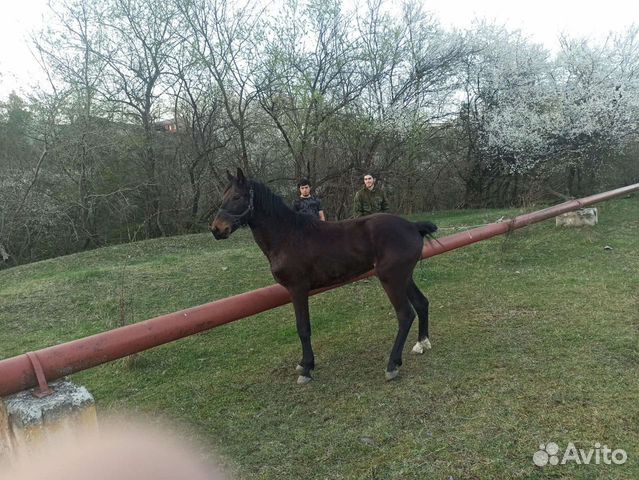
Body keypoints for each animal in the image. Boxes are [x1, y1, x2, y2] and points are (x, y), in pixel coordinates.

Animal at [212, 167, 438, 384]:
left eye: (237, 197)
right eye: (223, 195)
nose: (216, 229)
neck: (287, 235)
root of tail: (412, 226)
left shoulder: (298, 289)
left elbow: (303, 328)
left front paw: (306, 368)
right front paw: (305, 364)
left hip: (391, 279)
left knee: (405, 314)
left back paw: (392, 365)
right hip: (404, 277)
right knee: (421, 303)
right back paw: (421, 343)